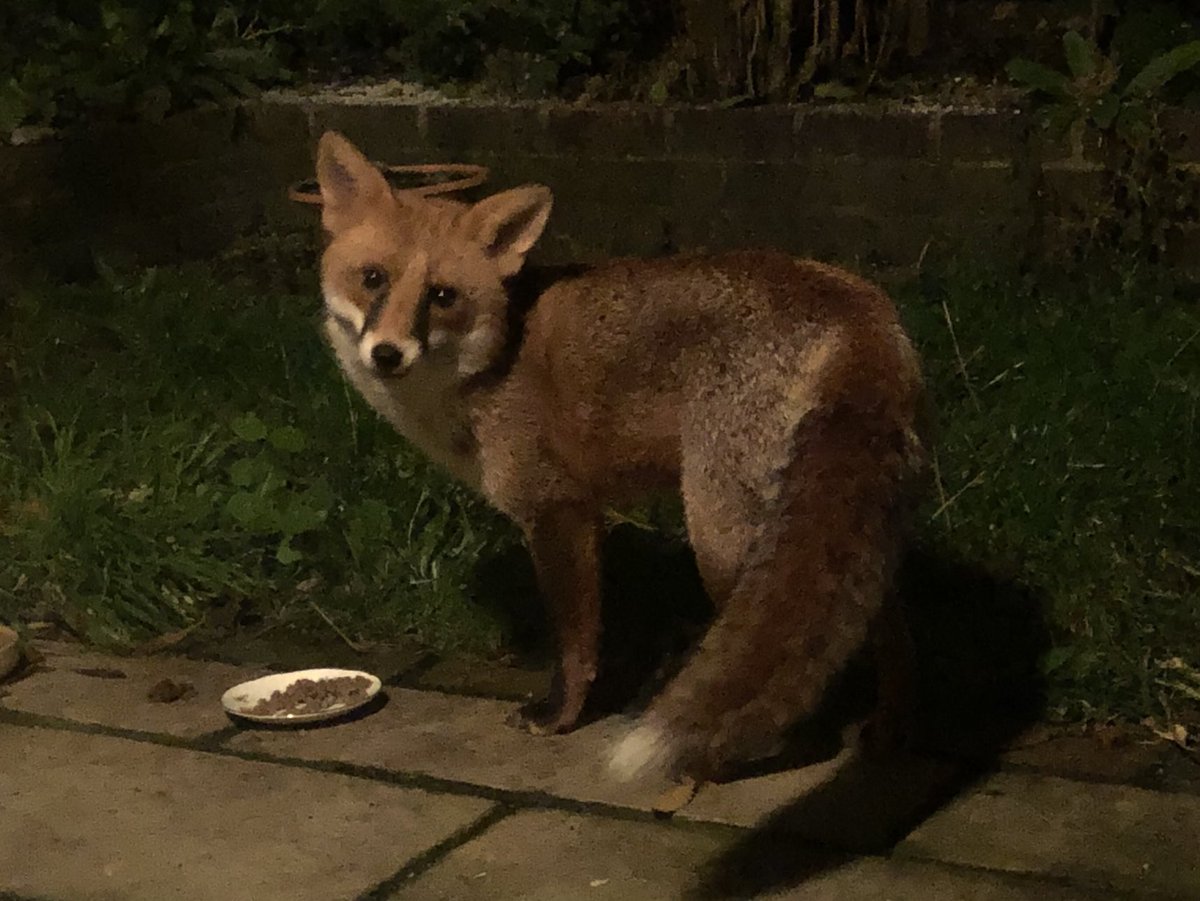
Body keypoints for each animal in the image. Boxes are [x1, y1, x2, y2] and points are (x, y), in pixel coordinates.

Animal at [311, 130, 928, 785]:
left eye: (443, 296)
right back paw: (890, 730)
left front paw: (558, 718)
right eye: (372, 278)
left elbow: (576, 641)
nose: (387, 353)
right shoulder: (583, 510)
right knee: (884, 624)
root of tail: (856, 306)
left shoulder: (556, 508)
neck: (491, 363)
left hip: (726, 540)